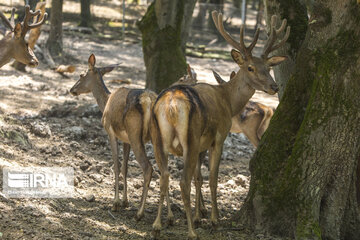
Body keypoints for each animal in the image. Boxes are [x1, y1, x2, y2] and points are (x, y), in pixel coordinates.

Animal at [150, 10, 292, 238]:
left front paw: (200, 216)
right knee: (182, 181)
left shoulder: (201, 144)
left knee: (164, 176)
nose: (274, 86)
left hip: (157, 138)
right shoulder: (218, 137)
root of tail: (171, 105)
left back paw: (156, 226)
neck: (227, 101)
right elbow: (213, 178)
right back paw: (191, 232)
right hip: (189, 138)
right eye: (251, 68)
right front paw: (213, 220)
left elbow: (199, 177)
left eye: (269, 67)